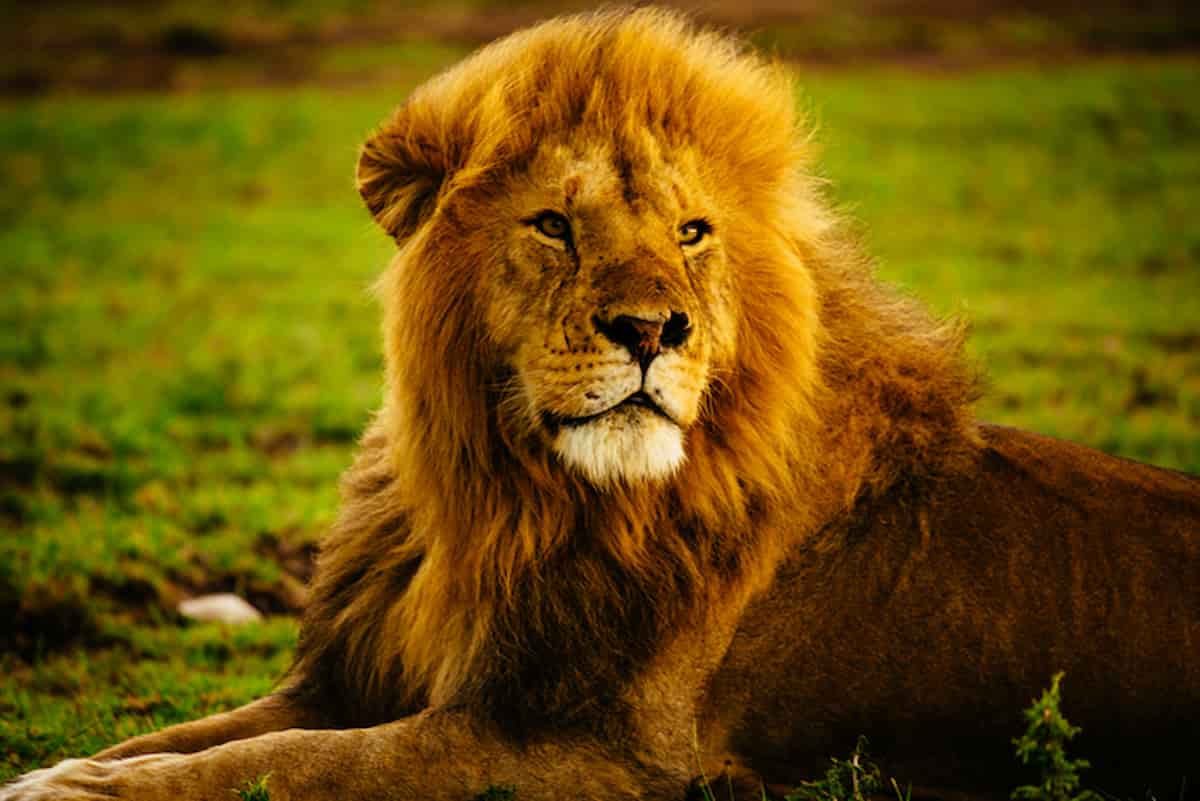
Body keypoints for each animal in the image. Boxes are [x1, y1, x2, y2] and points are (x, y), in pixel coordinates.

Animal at [5, 8, 1198, 801]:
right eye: (554, 225)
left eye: (691, 233)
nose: (650, 330)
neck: (489, 491)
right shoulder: (348, 677)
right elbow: (204, 736)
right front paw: (70, 765)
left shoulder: (588, 747)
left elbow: (292, 765)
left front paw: (70, 789)